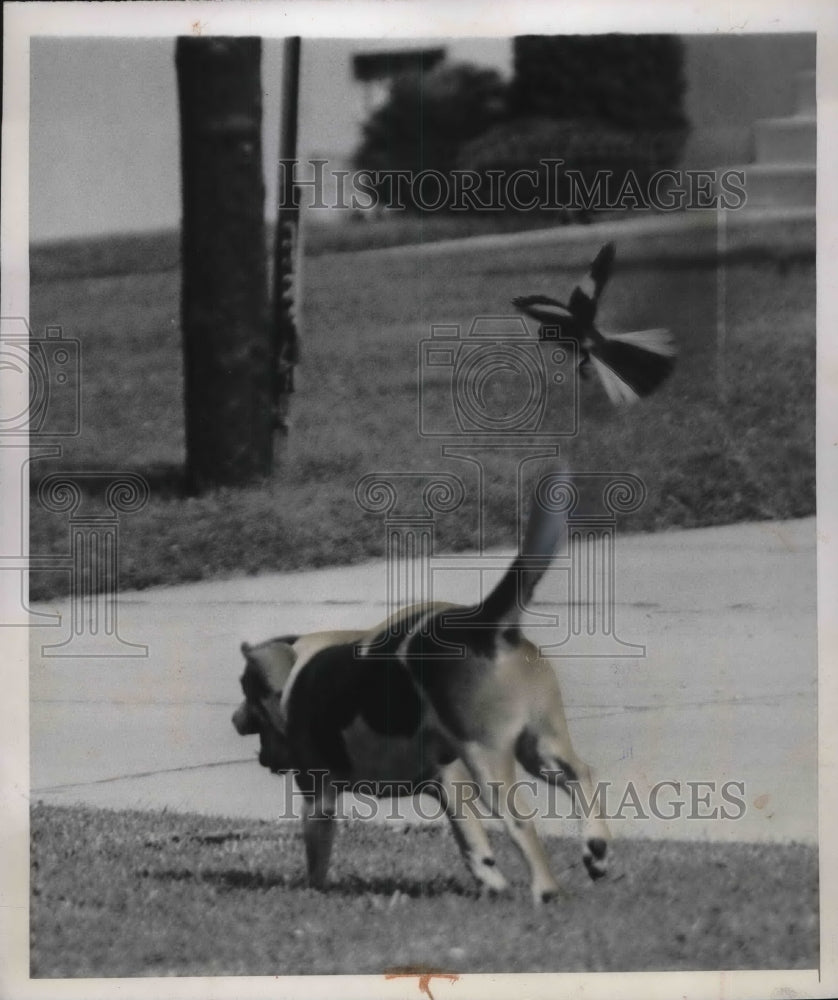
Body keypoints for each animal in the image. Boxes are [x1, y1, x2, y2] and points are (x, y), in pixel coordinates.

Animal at [233, 476, 612, 908]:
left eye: (246, 688)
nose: (235, 719)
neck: (297, 670)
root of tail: (484, 626)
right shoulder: (447, 782)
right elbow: (474, 847)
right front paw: (492, 883)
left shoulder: (319, 792)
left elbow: (317, 851)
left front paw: (312, 890)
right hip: (542, 746)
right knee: (581, 775)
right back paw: (595, 851)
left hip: (489, 760)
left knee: (521, 820)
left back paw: (547, 890)